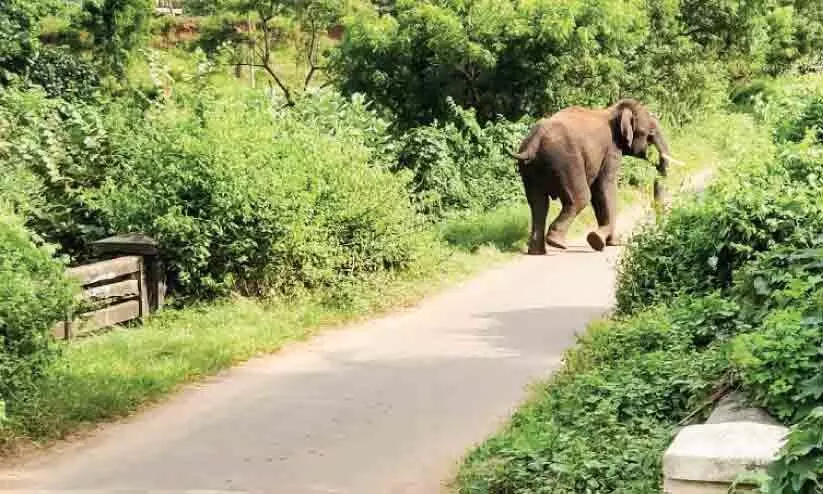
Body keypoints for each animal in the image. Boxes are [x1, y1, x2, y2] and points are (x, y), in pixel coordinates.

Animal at [512, 99, 672, 256]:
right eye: (649, 134)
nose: (656, 164)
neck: (615, 110)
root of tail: (535, 140)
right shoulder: (611, 150)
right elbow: (604, 187)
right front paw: (604, 241)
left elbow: (598, 192)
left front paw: (604, 241)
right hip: (565, 161)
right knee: (580, 197)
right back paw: (557, 243)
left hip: (530, 168)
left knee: (538, 203)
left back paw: (537, 251)